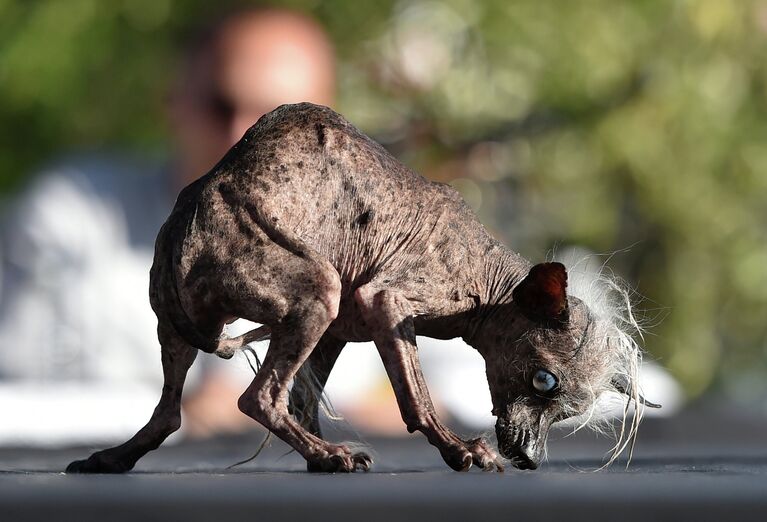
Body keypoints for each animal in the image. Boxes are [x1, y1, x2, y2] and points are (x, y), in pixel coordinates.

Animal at [66, 103, 656, 474]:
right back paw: (329, 454)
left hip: (193, 321)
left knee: (172, 411)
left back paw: (112, 458)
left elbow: (305, 399)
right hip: (318, 289)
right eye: (543, 381)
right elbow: (415, 400)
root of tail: (191, 211)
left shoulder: (341, 329)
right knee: (257, 397)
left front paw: (318, 452)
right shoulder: (388, 302)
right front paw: (459, 451)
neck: (487, 278)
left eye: (570, 411)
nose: (530, 458)